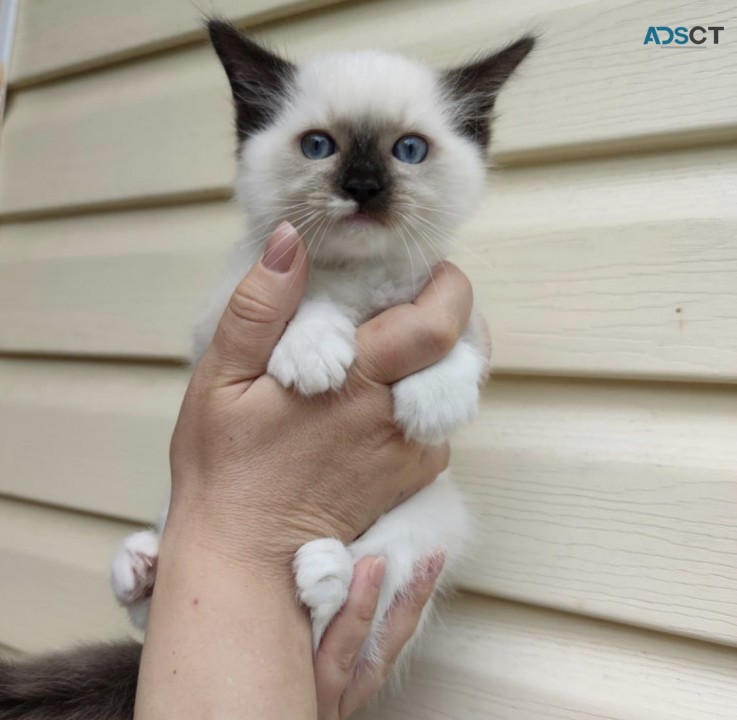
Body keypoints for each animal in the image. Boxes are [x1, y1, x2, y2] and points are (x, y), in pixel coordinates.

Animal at [112, 21, 532, 664]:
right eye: (317, 147)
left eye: (409, 150)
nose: (363, 187)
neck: (357, 278)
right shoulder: (217, 320)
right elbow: (308, 300)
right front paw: (313, 355)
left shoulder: (449, 299)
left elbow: (458, 343)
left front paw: (433, 402)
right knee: (155, 609)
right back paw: (140, 568)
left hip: (434, 514)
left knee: (352, 603)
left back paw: (323, 571)